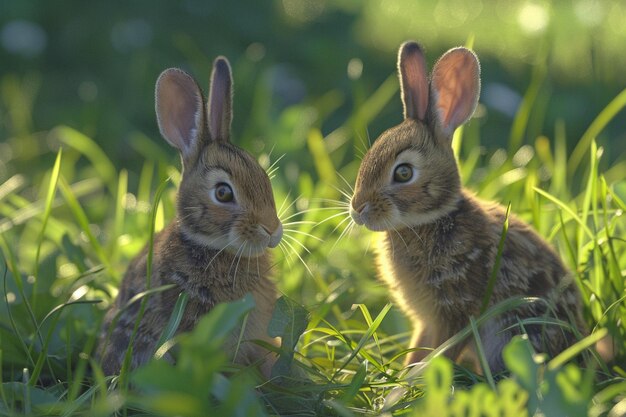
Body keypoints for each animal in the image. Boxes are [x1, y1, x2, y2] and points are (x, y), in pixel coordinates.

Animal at [348, 42, 584, 372]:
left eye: (404, 173)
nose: (358, 208)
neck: (430, 221)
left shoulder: (455, 309)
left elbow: (443, 350)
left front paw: (412, 378)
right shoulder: (428, 321)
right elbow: (420, 345)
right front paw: (404, 372)